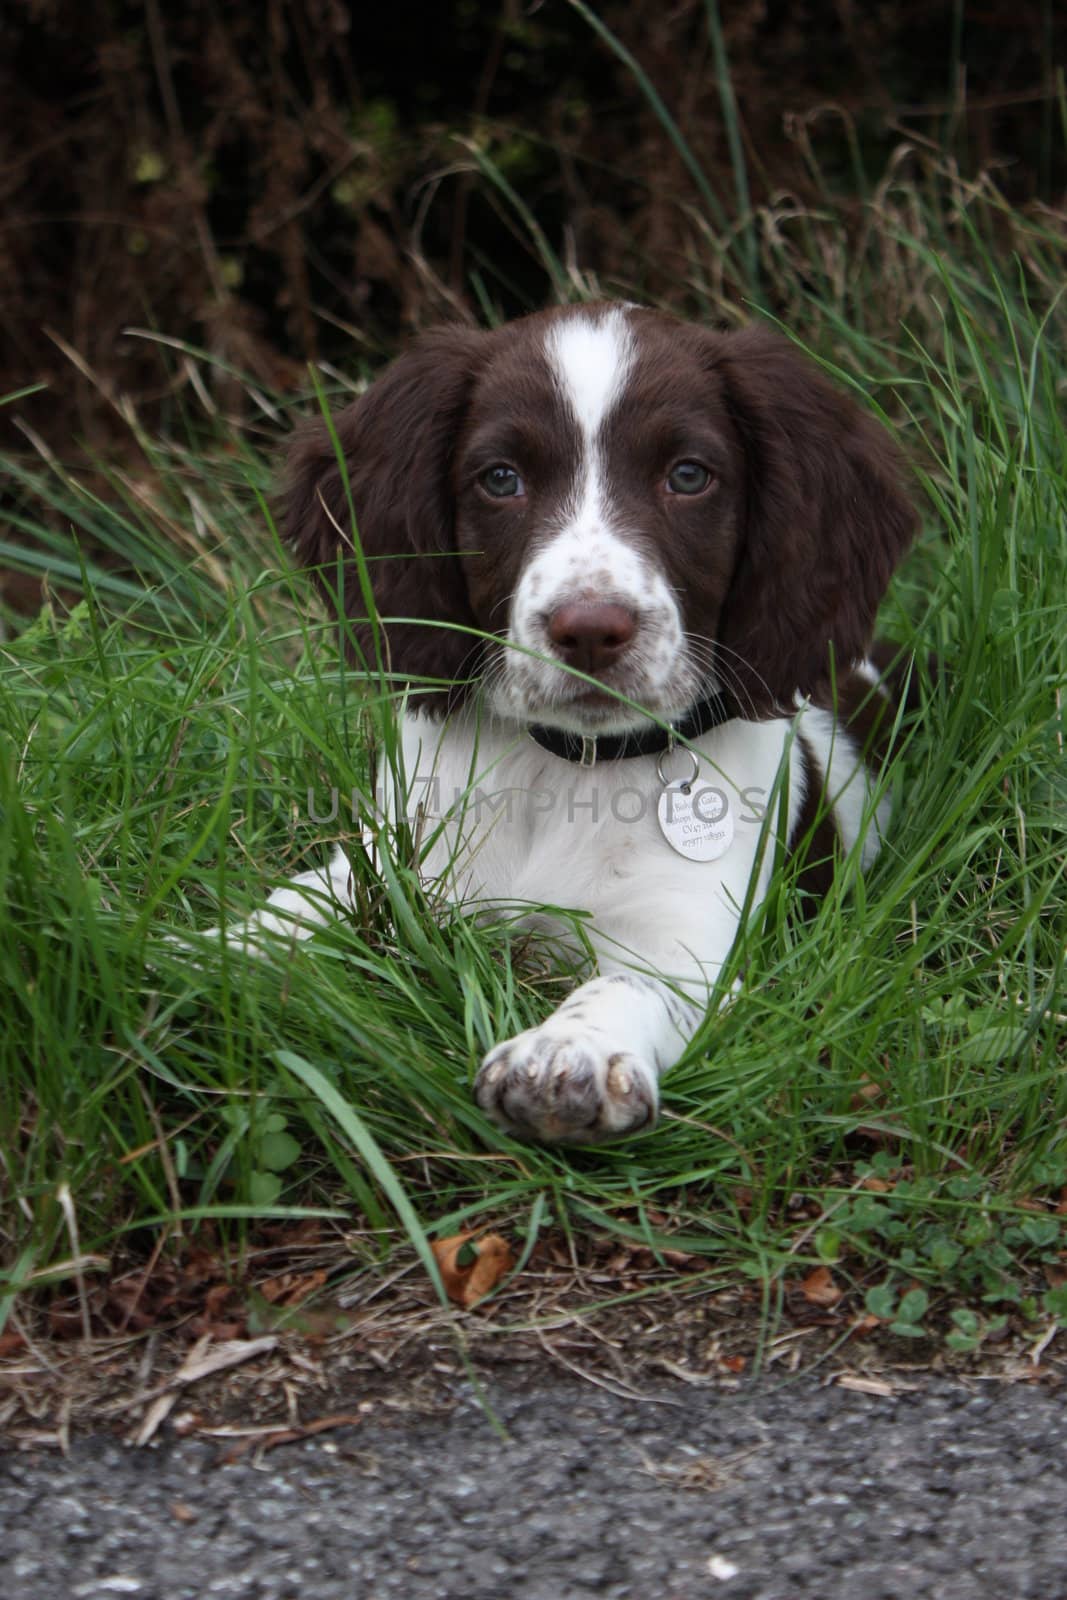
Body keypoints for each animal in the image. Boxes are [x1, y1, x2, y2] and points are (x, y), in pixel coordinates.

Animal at [235, 300, 921, 1145]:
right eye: (501, 479)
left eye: (688, 475)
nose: (590, 629)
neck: (566, 767)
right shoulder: (393, 864)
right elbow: (299, 906)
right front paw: (194, 953)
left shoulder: (696, 934)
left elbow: (632, 985)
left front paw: (568, 1055)